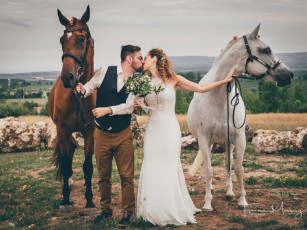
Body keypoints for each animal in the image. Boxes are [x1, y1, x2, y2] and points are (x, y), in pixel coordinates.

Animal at [188, 24, 294, 210]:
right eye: (266, 49)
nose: (288, 75)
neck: (219, 98)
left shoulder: (239, 138)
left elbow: (238, 169)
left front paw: (242, 200)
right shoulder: (204, 138)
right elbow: (208, 170)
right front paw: (207, 203)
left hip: (227, 141)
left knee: (227, 164)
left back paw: (229, 193)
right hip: (209, 141)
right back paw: (212, 190)